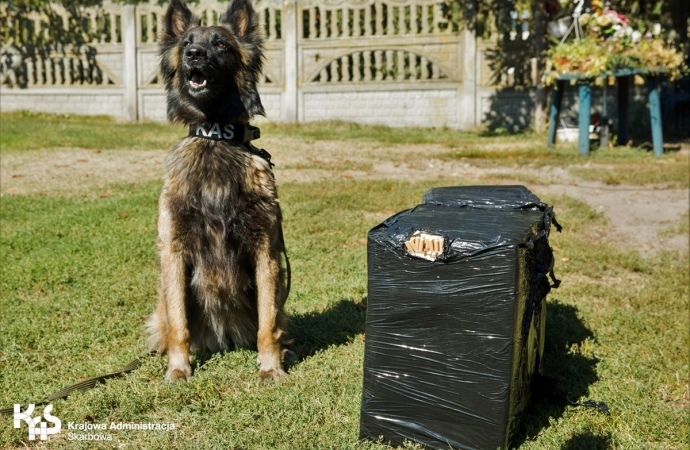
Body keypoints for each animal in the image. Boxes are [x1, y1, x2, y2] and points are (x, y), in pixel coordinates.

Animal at [148, 0, 290, 382]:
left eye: (221, 44)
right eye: (187, 44)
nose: (194, 54)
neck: (215, 136)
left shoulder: (266, 251)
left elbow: (268, 322)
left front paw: (271, 367)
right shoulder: (174, 251)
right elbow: (179, 324)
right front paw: (178, 368)